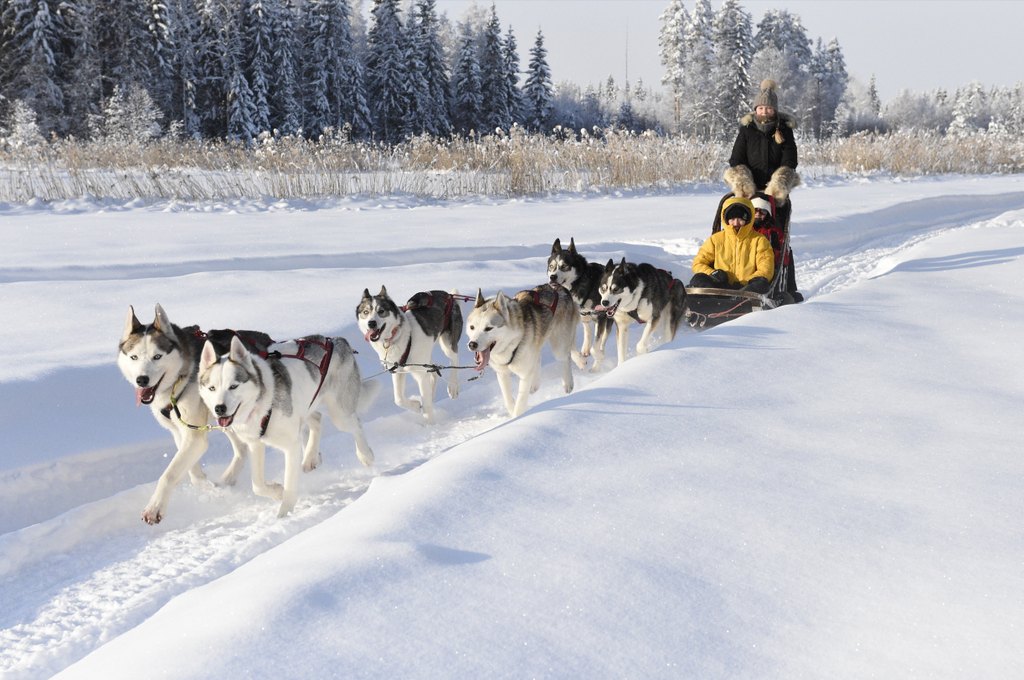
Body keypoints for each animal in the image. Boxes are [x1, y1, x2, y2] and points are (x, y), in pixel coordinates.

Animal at [118, 303, 276, 524]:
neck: (179, 381)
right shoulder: (181, 432)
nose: (142, 380)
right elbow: (191, 472)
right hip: (228, 419)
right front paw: (209, 487)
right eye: (134, 357)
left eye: (157, 356)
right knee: (242, 450)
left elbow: (169, 474)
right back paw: (227, 480)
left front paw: (154, 507)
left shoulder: (194, 436)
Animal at [197, 333, 374, 516]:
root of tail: (336, 340)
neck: (261, 404)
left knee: (356, 425)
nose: (219, 408)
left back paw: (365, 455)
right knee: (317, 419)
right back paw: (310, 457)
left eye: (233, 386)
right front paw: (277, 492)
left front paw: (284, 514)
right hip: (306, 408)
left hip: (339, 414)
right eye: (212, 388)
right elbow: (257, 485)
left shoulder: (291, 446)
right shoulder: (256, 444)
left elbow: (289, 483)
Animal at [356, 284, 460, 421]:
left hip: (447, 345)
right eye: (365, 312)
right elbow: (398, 399)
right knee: (433, 373)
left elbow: (426, 406)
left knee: (454, 360)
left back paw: (453, 387)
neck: (396, 336)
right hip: (425, 359)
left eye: (381, 311)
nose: (371, 323)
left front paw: (429, 423)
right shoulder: (397, 370)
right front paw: (415, 406)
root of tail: (449, 295)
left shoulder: (420, 374)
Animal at [466, 282, 581, 419]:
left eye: (488, 328)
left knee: (565, 357)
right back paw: (535, 384)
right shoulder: (502, 373)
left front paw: (518, 417)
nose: (472, 344)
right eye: (472, 327)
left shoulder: (524, 375)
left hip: (559, 346)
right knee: (538, 358)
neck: (512, 343)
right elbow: (507, 398)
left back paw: (568, 383)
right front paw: (512, 411)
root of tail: (557, 286)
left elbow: (521, 401)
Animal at [548, 237, 610, 372]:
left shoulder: (601, 316)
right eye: (551, 266)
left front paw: (598, 359)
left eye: (564, 266)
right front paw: (581, 359)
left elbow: (596, 346)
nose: (552, 277)